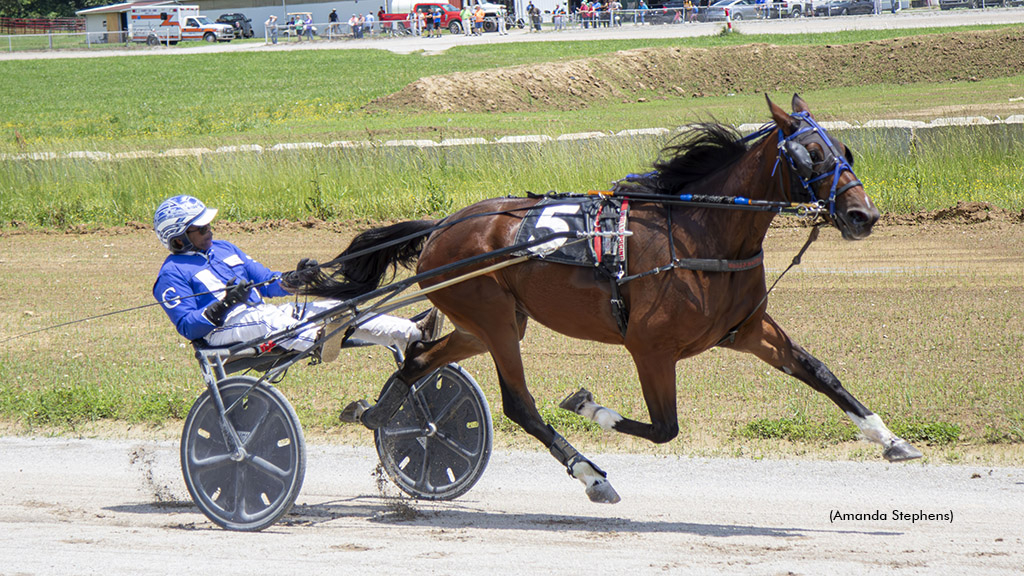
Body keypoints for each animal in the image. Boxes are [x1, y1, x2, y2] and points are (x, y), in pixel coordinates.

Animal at [284, 94, 925, 502]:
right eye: (810, 154)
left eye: (845, 149)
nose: (863, 215)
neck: (700, 234)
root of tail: (442, 226)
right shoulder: (650, 347)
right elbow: (664, 428)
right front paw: (588, 405)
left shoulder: (746, 330)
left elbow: (821, 372)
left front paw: (892, 440)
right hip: (494, 321)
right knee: (519, 406)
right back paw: (590, 475)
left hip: (486, 322)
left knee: (418, 359)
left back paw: (382, 417)